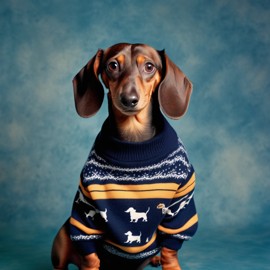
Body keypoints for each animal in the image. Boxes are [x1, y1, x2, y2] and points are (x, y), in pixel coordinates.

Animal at [51, 43, 197, 268]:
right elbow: (90, 254)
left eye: (149, 66)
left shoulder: (182, 202)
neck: (134, 144)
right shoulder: (86, 206)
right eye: (112, 65)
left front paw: (171, 264)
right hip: (62, 238)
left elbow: (171, 249)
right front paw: (91, 265)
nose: (129, 100)